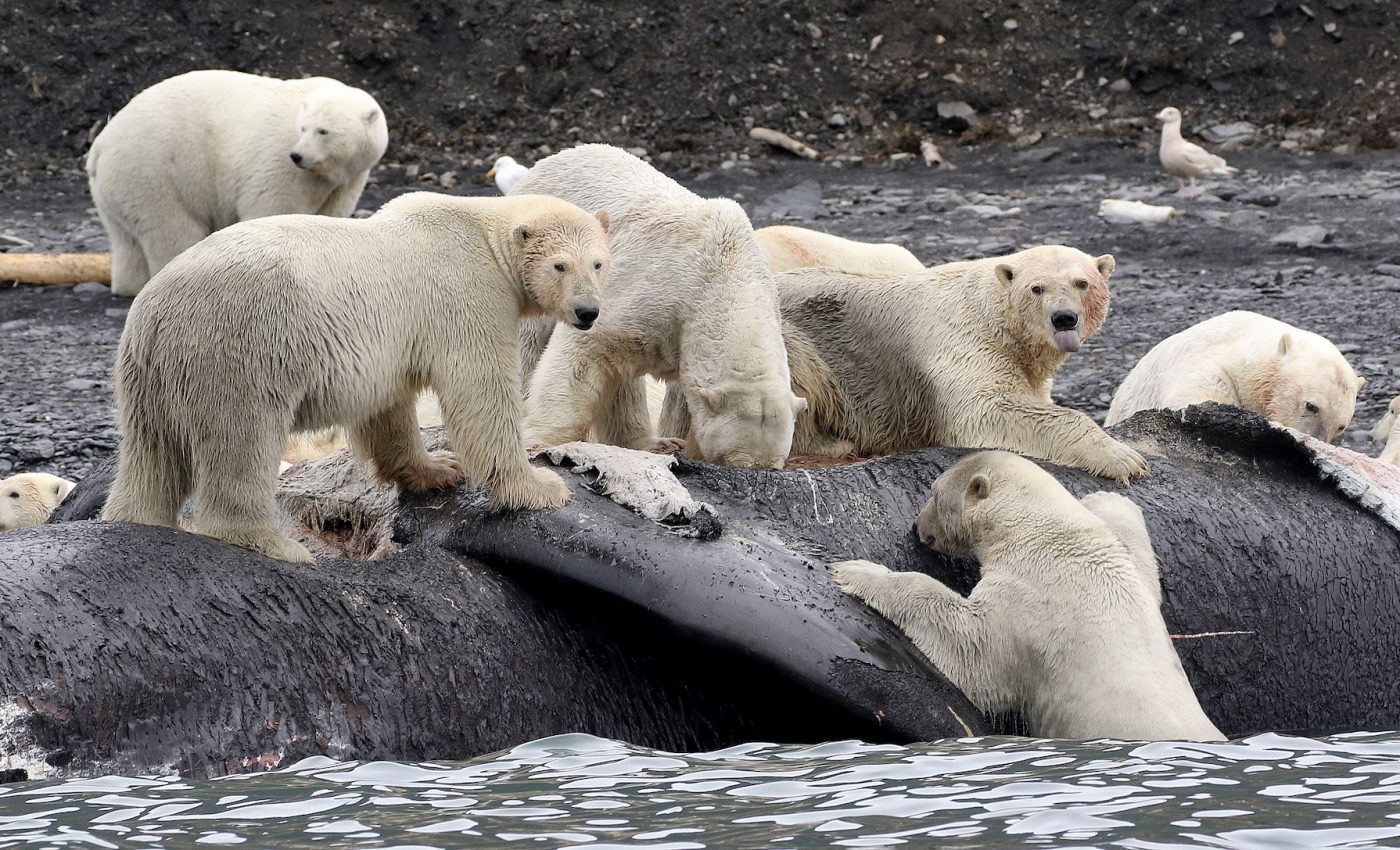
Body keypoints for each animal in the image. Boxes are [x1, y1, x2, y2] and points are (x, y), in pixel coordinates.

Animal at [87, 70, 389, 297]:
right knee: (173, 229)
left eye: (323, 131)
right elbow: (274, 208)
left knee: (126, 240)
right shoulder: (277, 163)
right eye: (304, 128)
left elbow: (330, 214)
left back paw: (129, 285)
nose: (297, 155)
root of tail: (99, 145)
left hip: (117, 186)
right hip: (153, 170)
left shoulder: (346, 179)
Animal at [101, 192, 611, 563]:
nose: (588, 311)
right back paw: (274, 543)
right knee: (242, 441)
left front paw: (436, 469)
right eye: (560, 265)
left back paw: (136, 518)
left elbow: (388, 406)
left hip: (150, 376)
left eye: (599, 262)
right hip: (238, 350)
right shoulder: (467, 295)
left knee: (152, 455)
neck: (480, 231)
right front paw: (538, 488)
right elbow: (481, 393)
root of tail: (155, 313)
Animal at [507, 143, 805, 468]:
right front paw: (540, 441)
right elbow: (584, 351)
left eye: (775, 465)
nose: (758, 469)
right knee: (528, 341)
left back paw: (651, 443)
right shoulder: (650, 287)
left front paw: (678, 440)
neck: (727, 271)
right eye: (735, 461)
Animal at [659, 245, 1143, 481]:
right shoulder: (961, 344)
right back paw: (831, 444)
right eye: (1037, 287)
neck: (990, 311)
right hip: (778, 337)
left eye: (1082, 282)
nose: (1064, 318)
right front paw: (1124, 457)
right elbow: (985, 409)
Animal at [831, 450, 1225, 741]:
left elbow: (972, 650)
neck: (1039, 531)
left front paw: (854, 572)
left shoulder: (1029, 598)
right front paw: (1105, 496)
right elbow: (1134, 551)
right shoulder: (1125, 571)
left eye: (933, 492)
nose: (916, 527)